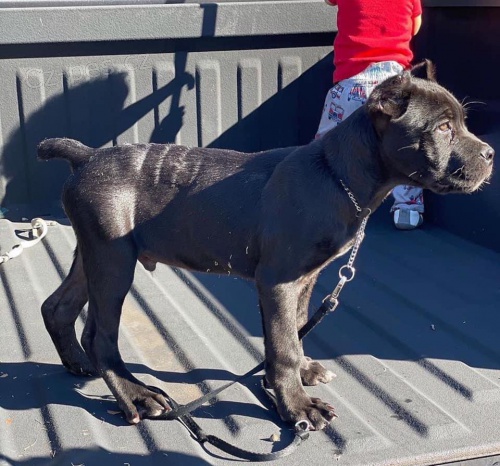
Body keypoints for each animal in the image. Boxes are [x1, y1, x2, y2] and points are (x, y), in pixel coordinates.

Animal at [38, 61, 492, 430]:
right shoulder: (278, 281)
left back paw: (77, 363)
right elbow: (284, 343)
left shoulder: (305, 280)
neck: (337, 175)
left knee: (58, 307)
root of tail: (87, 156)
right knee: (100, 335)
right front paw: (297, 407)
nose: (490, 154)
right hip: (113, 259)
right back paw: (137, 395)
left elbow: (296, 329)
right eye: (443, 129)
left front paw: (303, 373)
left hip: (95, 253)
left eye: (462, 123)